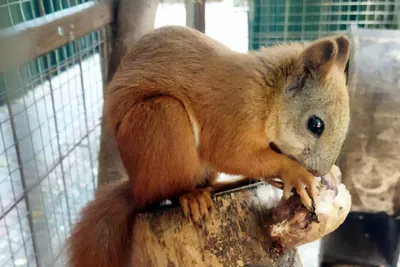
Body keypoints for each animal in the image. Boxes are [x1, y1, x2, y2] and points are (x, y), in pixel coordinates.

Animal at [68, 25, 350, 267]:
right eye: (315, 124)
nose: (319, 171)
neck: (269, 95)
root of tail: (136, 189)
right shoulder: (233, 114)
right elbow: (231, 154)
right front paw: (296, 173)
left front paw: (331, 175)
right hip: (162, 118)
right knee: (167, 192)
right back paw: (191, 196)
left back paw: (226, 185)